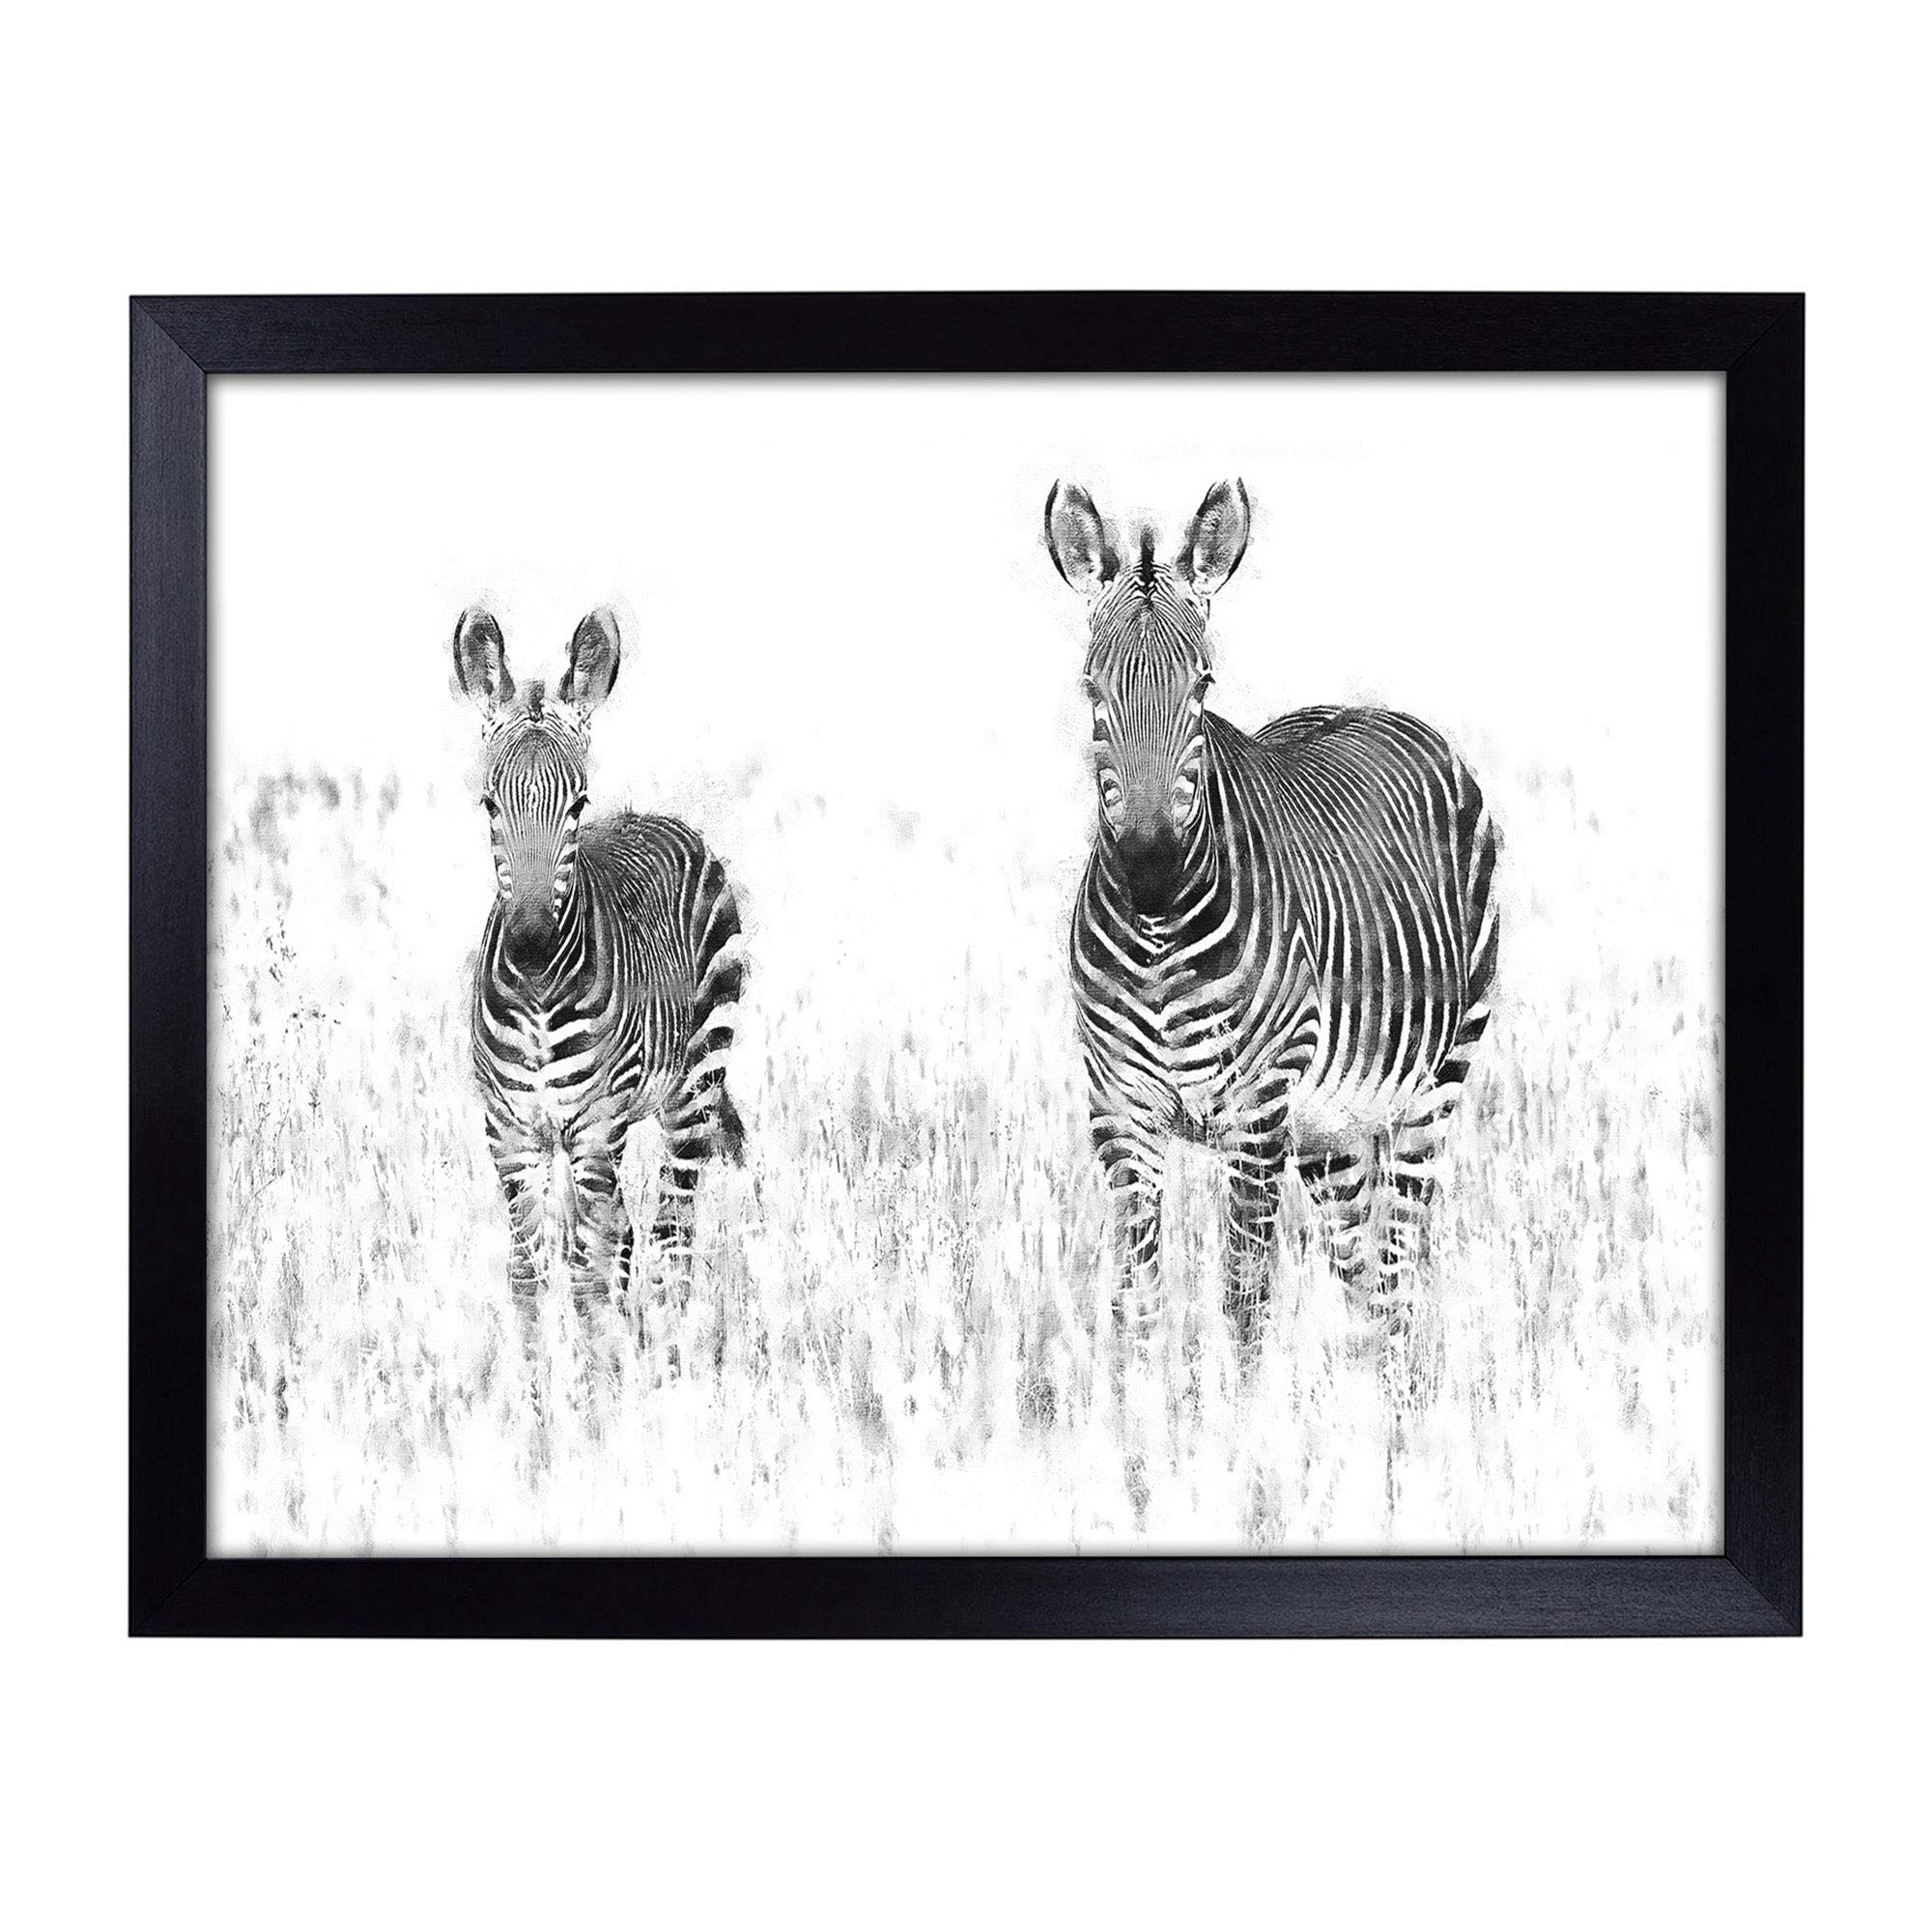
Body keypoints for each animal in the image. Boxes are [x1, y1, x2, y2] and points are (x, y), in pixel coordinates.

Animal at [451, 604, 746, 1367]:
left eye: (577, 803)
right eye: (488, 804)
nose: (528, 945)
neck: (535, 997)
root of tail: (653, 814)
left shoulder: (591, 1128)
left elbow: (585, 1274)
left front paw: (598, 1391)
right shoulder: (512, 1134)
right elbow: (529, 1273)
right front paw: (535, 1393)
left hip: (691, 1094)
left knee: (672, 1234)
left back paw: (671, 1363)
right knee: (632, 1238)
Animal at [1045, 480, 1499, 1397]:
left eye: (1203, 683)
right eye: (1090, 687)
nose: (1149, 861)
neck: (1159, 933)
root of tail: (1372, 704)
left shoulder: (1256, 1111)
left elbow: (1244, 1298)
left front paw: (1239, 1428)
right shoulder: (1117, 1111)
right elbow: (1137, 1299)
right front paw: (1140, 1421)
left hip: (1433, 1088)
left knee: (1399, 1266)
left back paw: (1395, 1412)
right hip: (1332, 1128)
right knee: (1361, 1273)